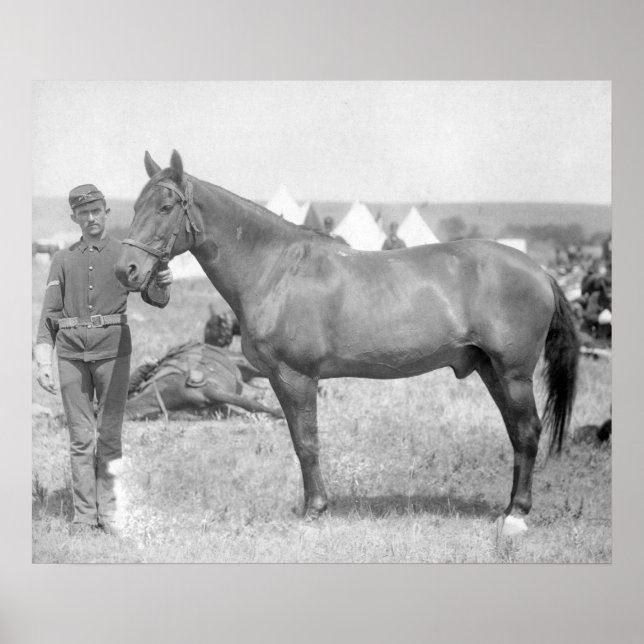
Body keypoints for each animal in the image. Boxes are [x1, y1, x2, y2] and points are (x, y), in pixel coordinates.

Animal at [115, 150, 579, 536]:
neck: (277, 269)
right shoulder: (281, 380)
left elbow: (307, 442)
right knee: (516, 433)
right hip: (490, 370)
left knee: (528, 431)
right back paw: (508, 508)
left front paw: (315, 510)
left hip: (514, 374)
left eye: (165, 207)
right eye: (134, 207)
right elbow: (298, 439)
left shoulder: (297, 377)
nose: (127, 270)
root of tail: (539, 271)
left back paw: (517, 515)